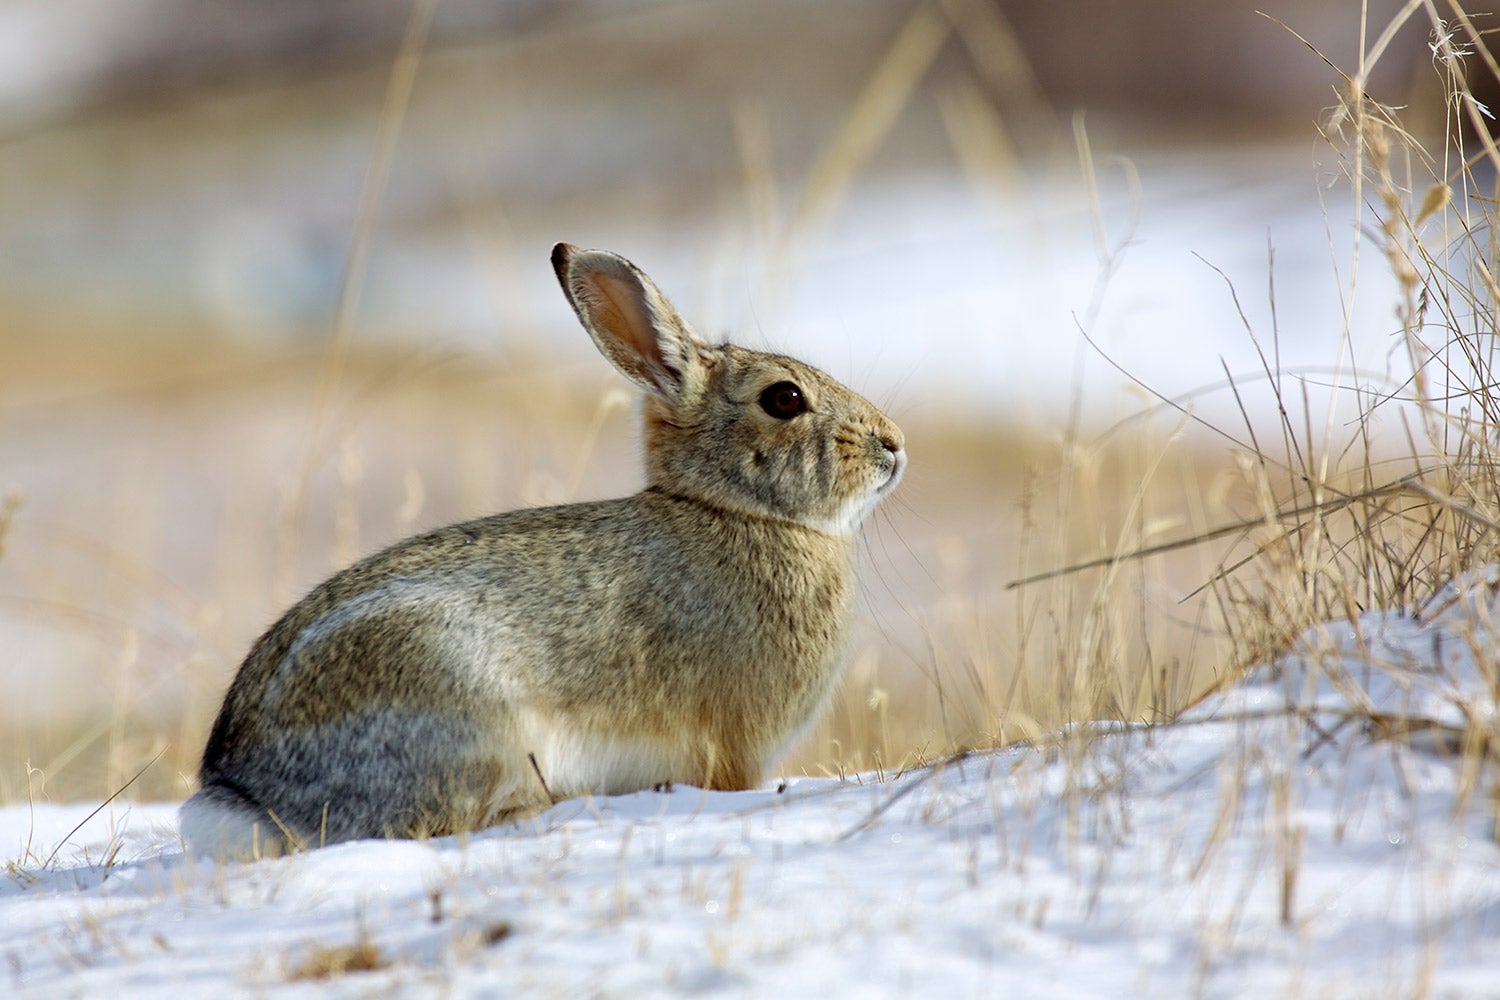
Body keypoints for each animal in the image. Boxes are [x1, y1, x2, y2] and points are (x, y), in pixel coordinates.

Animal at [179, 243, 906, 860]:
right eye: (784, 399)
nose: (893, 445)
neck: (734, 510)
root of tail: (245, 797)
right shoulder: (735, 747)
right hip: (468, 710)